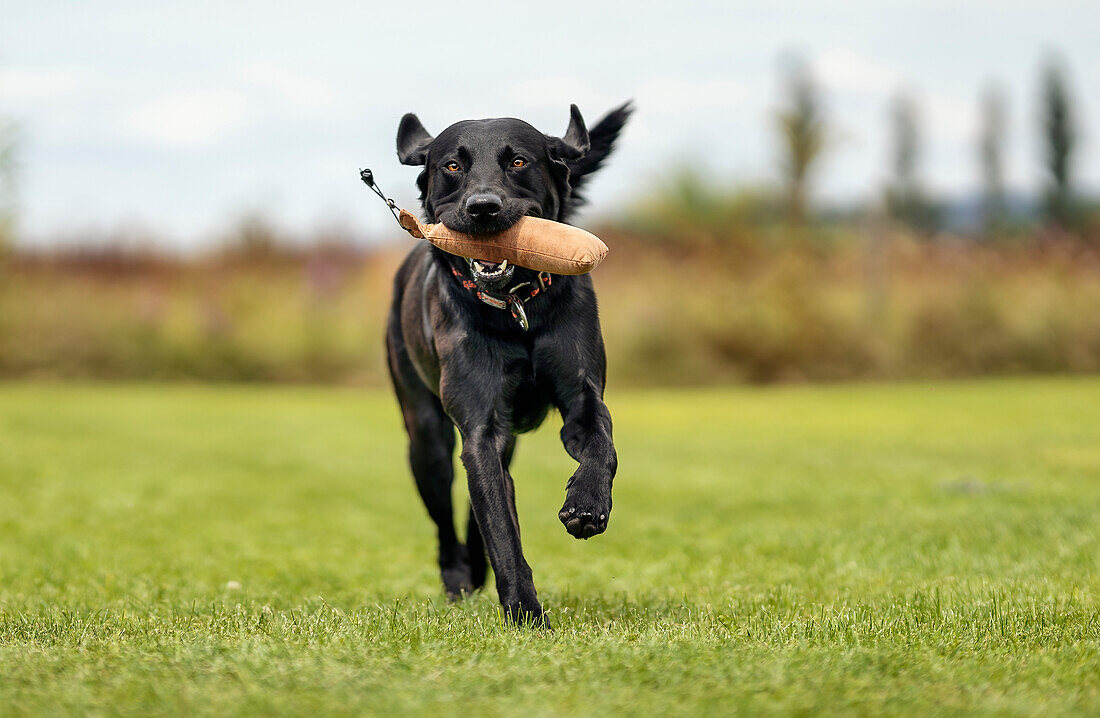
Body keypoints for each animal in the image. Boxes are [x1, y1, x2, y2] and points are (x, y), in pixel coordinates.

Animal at [385, 100, 629, 620]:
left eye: (518, 161)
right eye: (451, 166)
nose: (483, 208)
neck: (517, 310)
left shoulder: (582, 398)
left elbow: (602, 446)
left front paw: (587, 504)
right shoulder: (480, 426)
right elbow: (502, 530)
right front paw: (526, 615)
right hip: (425, 438)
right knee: (449, 514)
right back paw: (459, 576)